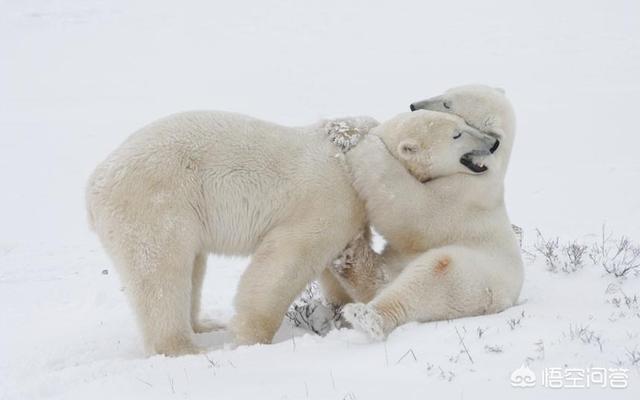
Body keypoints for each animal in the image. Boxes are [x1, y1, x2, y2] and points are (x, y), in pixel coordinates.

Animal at [332, 85, 524, 340]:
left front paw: (364, 141)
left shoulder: (460, 199)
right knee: (382, 275)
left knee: (433, 275)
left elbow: (410, 209)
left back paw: (368, 316)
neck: (487, 171)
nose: (413, 105)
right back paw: (348, 256)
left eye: (447, 104)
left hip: (475, 281)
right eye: (447, 92)